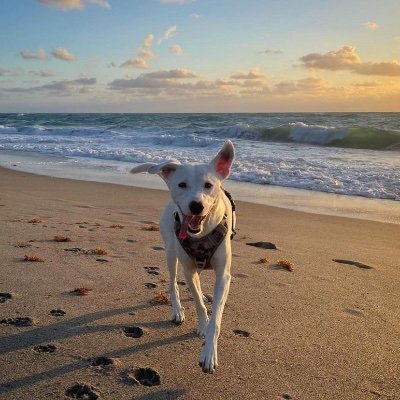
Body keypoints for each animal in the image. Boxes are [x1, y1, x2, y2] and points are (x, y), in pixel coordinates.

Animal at [131, 140, 236, 372]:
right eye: (181, 185)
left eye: (208, 185)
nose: (196, 205)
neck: (202, 233)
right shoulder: (187, 269)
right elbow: (196, 301)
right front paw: (202, 324)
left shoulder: (224, 276)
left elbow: (216, 316)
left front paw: (209, 352)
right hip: (171, 252)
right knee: (173, 283)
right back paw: (178, 309)